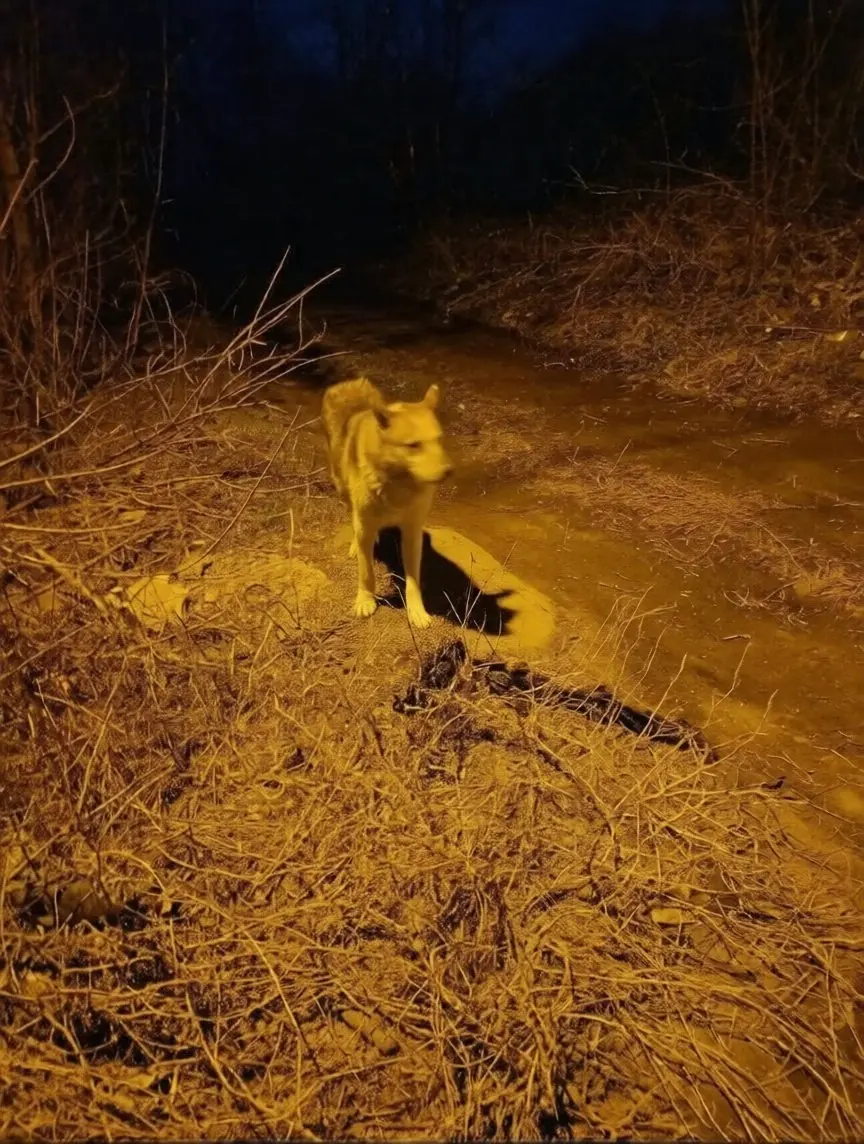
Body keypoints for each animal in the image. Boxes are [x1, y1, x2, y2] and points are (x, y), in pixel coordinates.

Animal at [321, 376, 453, 628]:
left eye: (440, 439)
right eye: (413, 445)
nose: (448, 471)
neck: (398, 483)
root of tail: (351, 383)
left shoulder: (412, 532)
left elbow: (413, 580)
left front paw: (416, 611)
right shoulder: (365, 522)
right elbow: (366, 573)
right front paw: (365, 599)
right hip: (343, 489)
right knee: (354, 520)